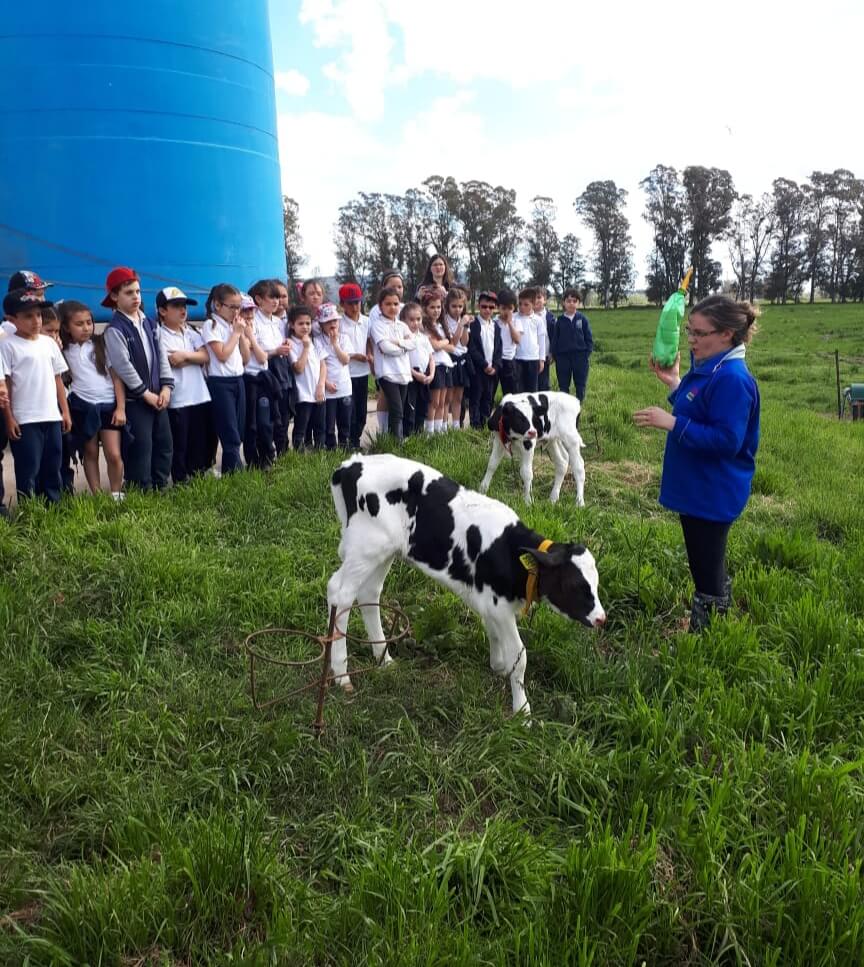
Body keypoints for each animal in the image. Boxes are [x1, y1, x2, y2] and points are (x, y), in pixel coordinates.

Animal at [328, 454, 604, 720]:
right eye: (575, 585)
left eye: (596, 582)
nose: (601, 618)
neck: (508, 550)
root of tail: (351, 464)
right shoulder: (501, 608)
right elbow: (520, 656)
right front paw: (522, 711)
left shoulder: (489, 602)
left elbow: (493, 634)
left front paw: (498, 666)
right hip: (365, 548)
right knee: (340, 593)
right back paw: (341, 674)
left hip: (383, 552)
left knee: (369, 592)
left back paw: (383, 658)